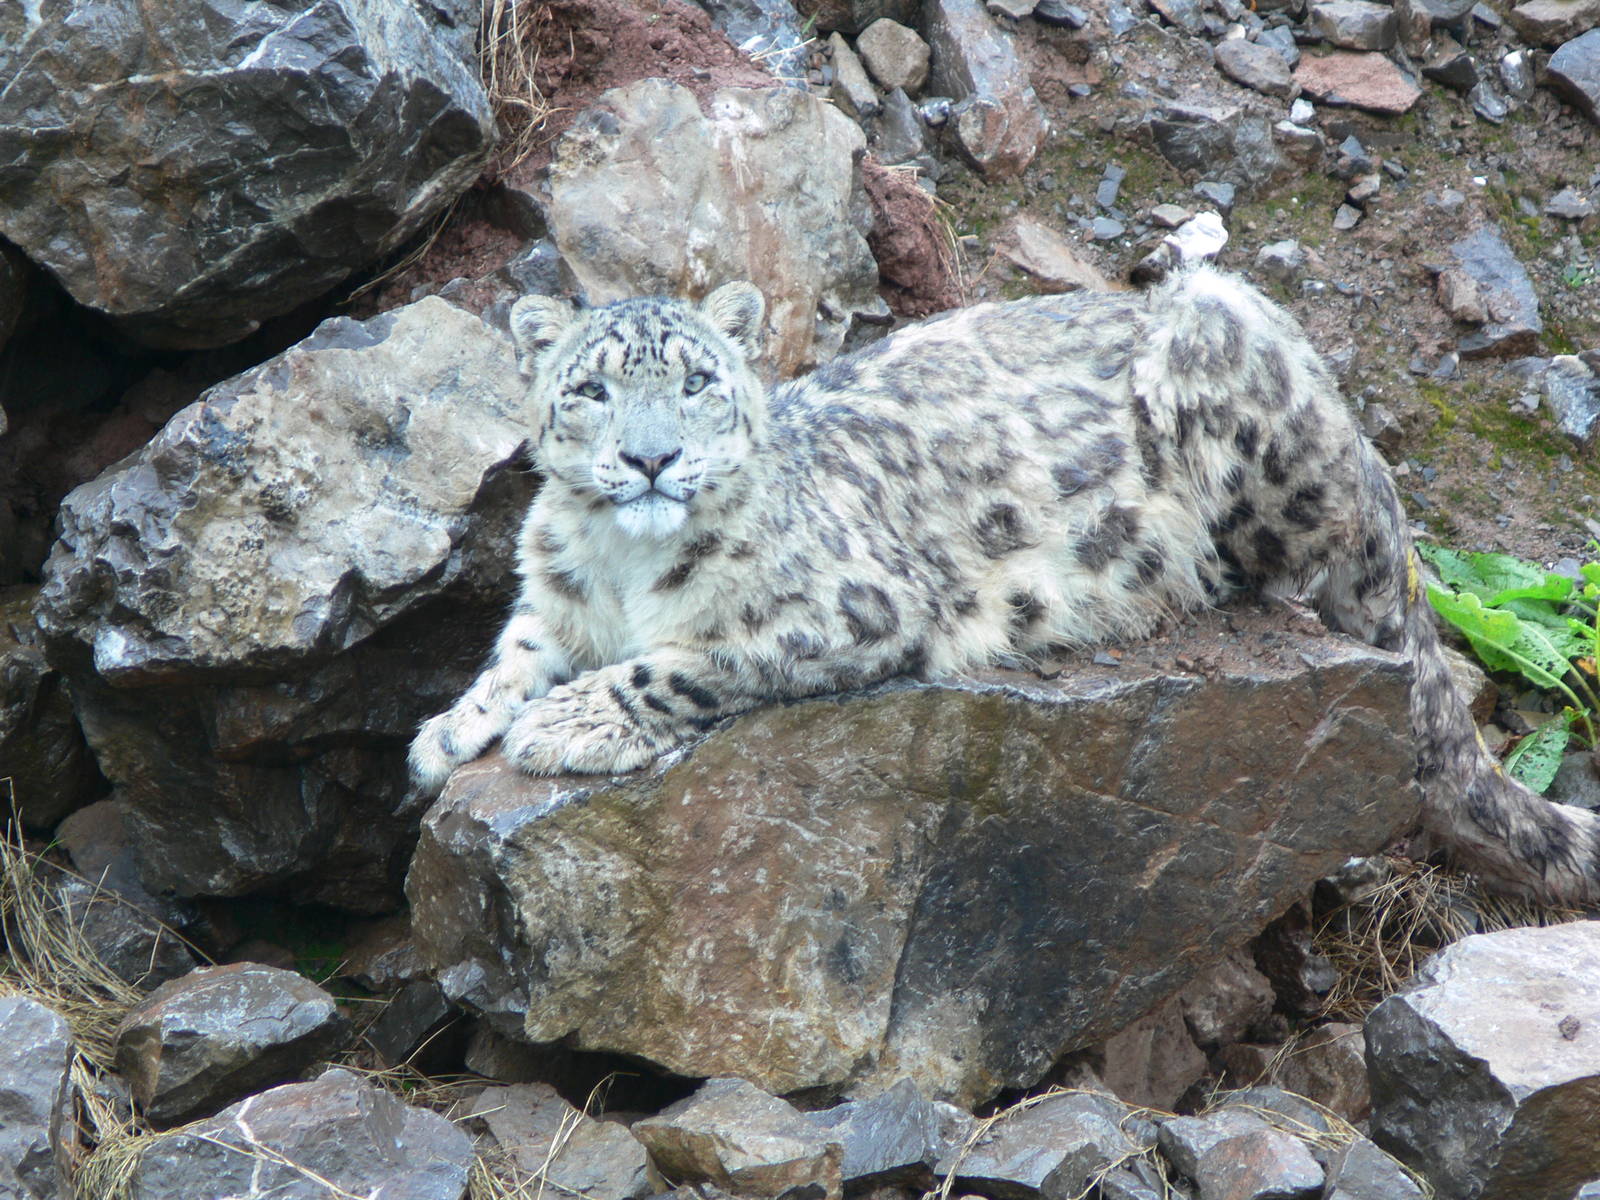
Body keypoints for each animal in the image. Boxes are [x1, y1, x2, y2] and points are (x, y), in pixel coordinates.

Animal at [408, 269, 1600, 905]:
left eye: (698, 380)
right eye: (590, 390)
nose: (651, 459)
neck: (622, 568)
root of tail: (1361, 437)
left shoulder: (852, 606)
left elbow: (692, 664)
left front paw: (570, 720)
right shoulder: (556, 598)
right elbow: (517, 644)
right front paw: (449, 728)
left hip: (1226, 350)